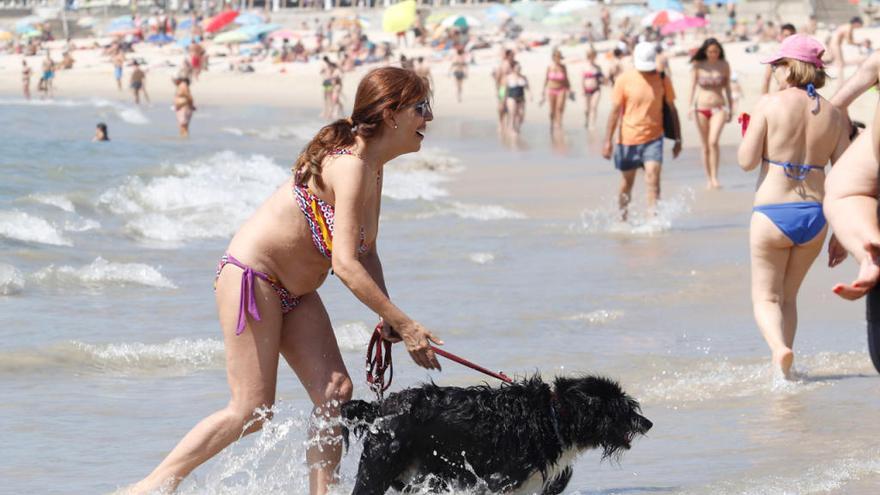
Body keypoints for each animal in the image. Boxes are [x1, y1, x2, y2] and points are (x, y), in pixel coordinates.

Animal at [340, 376, 648, 495]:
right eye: (622, 409)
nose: (648, 423)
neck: (553, 416)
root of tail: (379, 407)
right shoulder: (498, 479)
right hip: (380, 464)